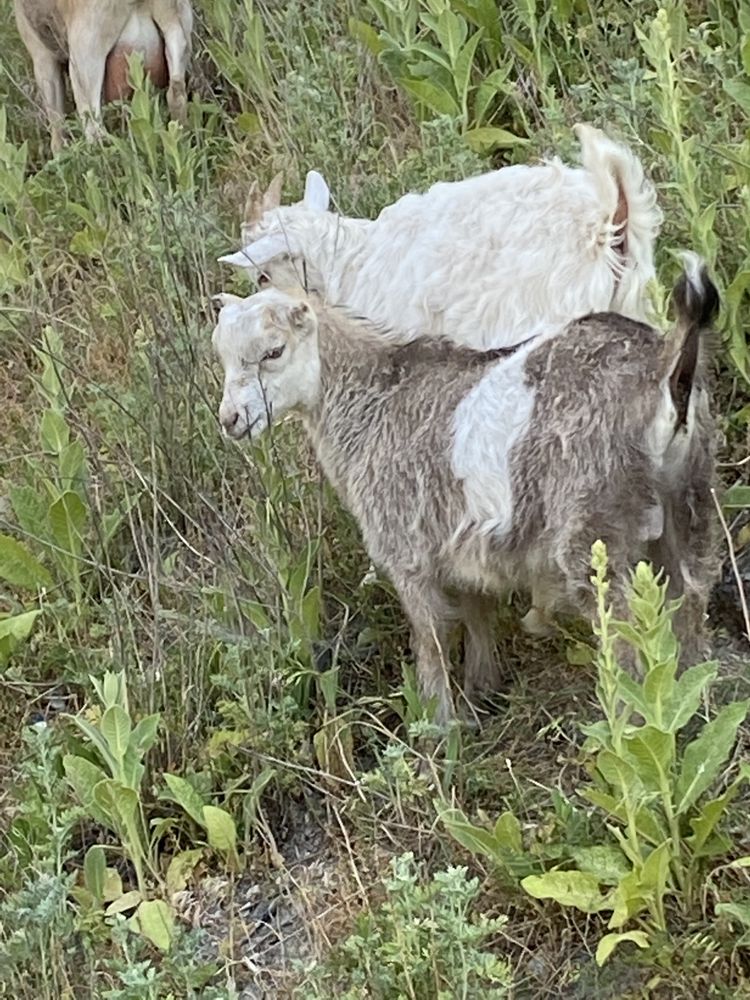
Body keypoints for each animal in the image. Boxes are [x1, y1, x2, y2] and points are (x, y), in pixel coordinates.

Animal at [14, 0, 192, 154]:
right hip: (177, 28)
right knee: (176, 94)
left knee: (95, 130)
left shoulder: (41, 56)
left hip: (85, 58)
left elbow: (57, 127)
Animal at [213, 258, 724, 724]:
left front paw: (441, 727)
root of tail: (663, 373)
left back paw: (630, 723)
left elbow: (431, 638)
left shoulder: (406, 549)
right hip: (689, 501)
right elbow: (478, 611)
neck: (374, 399)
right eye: (223, 356)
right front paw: (483, 690)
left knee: (620, 631)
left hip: (594, 525)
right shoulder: (465, 543)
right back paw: (689, 706)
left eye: (274, 351)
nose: (231, 419)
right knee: (691, 600)